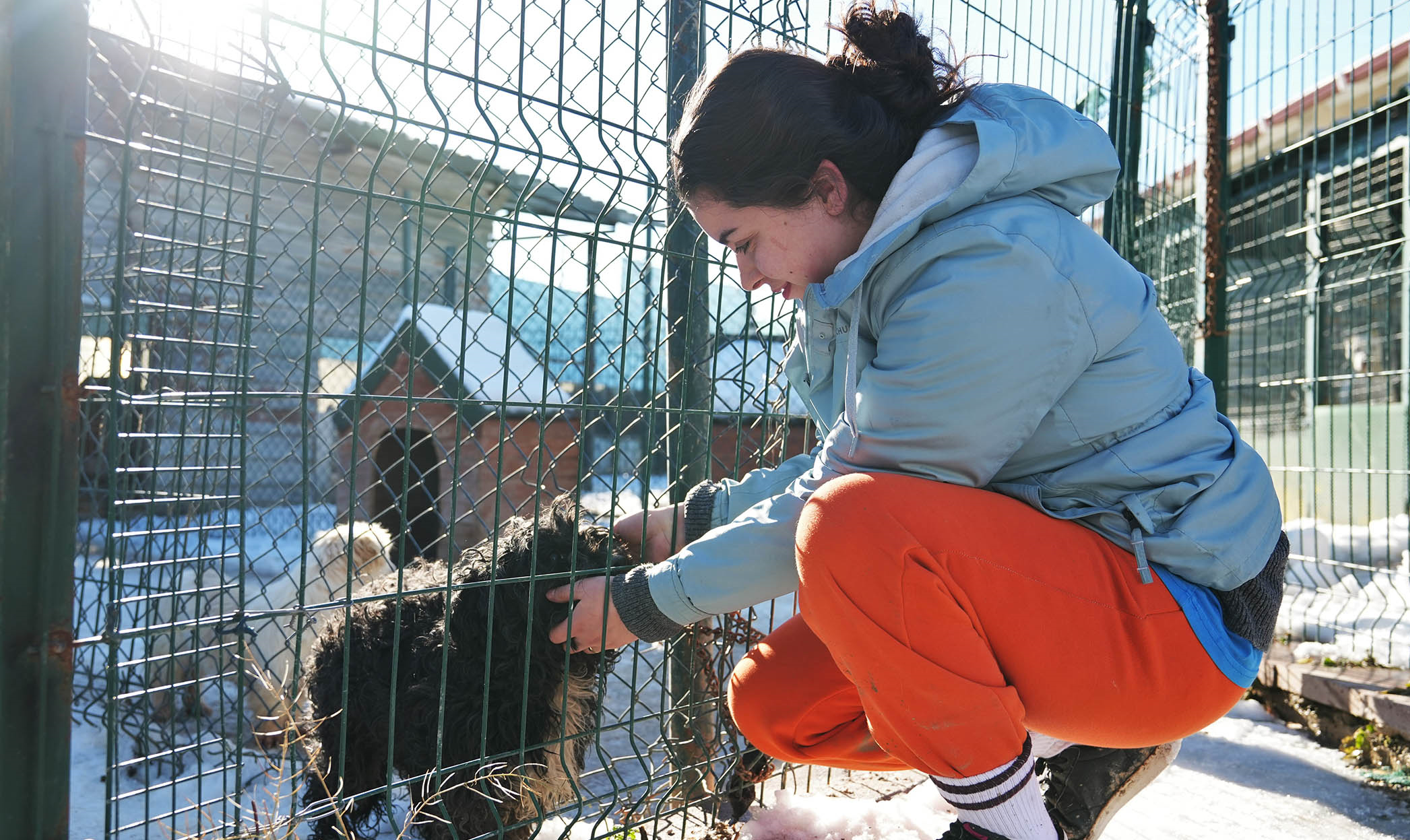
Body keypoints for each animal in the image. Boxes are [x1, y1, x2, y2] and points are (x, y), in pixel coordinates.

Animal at [147, 518, 397, 749]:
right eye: (385, 556)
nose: (396, 571)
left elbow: (294, 707)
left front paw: (297, 729)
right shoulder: (274, 676)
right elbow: (273, 709)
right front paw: (271, 736)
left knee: (192, 679)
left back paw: (198, 708)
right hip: (170, 653)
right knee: (161, 681)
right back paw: (163, 712)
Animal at [305, 498, 626, 840]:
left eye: (592, 541)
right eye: (554, 556)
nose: (618, 558)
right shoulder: (461, 787)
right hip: (351, 746)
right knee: (331, 796)